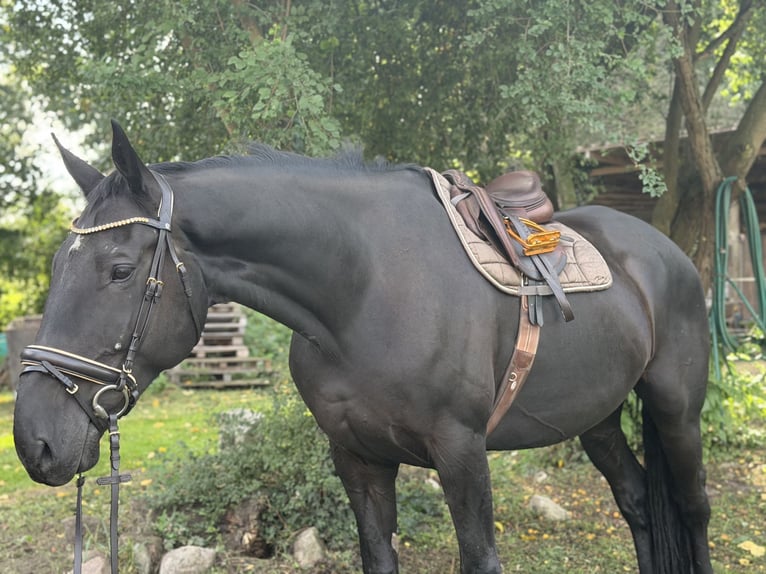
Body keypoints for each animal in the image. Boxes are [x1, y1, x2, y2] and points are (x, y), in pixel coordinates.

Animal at [13, 121, 712, 574]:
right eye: (55, 264)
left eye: (120, 270)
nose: (34, 442)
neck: (363, 289)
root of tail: (664, 251)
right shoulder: (357, 457)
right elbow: (378, 555)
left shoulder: (462, 452)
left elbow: (480, 557)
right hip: (597, 417)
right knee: (638, 503)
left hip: (677, 409)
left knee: (692, 508)